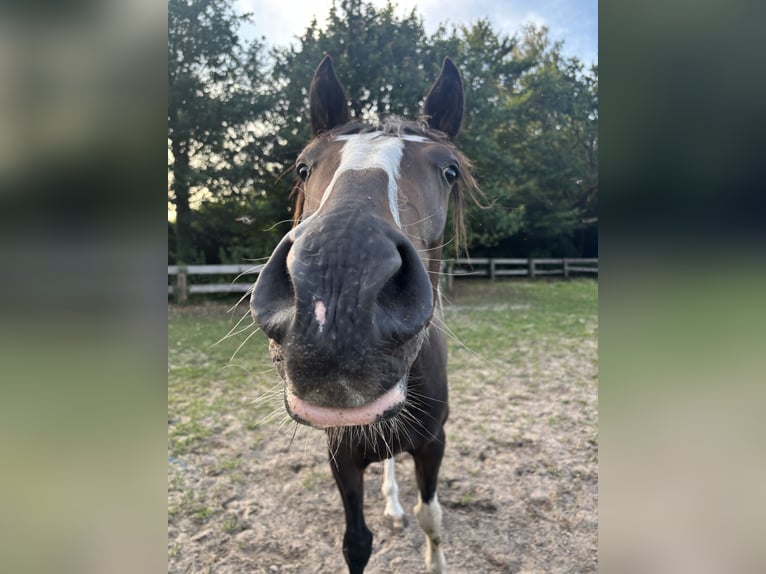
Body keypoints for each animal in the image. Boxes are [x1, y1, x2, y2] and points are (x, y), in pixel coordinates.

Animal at [250, 55, 475, 574]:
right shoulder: (342, 457)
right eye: (303, 167)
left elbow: (432, 519)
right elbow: (356, 542)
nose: (336, 296)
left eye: (450, 171)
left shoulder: (434, 444)